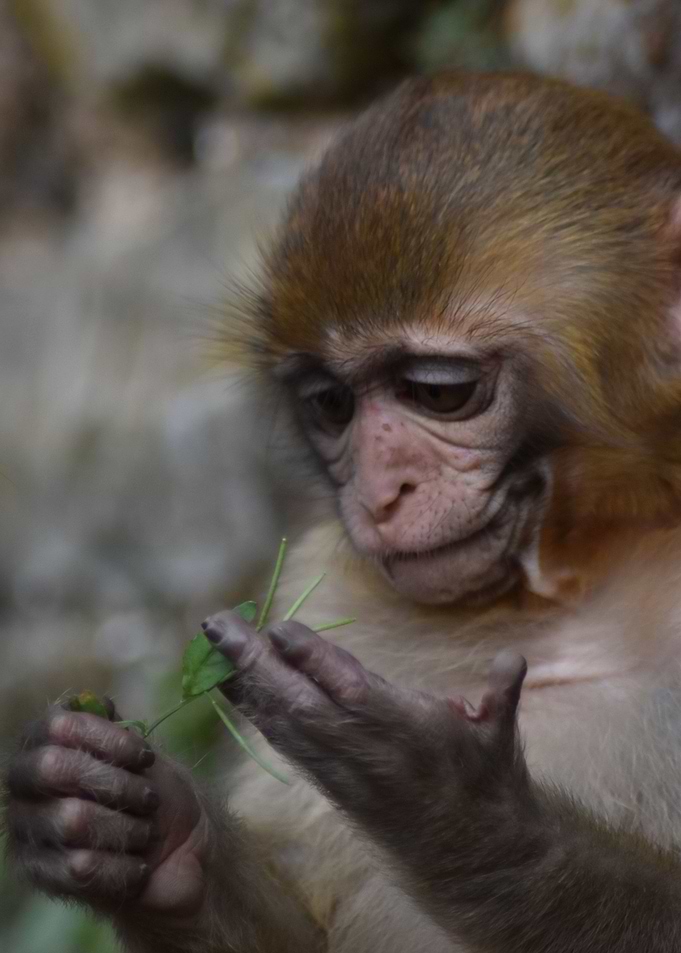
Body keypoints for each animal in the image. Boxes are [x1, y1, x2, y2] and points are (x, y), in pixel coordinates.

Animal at [8, 70, 681, 952]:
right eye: (331, 405)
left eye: (438, 391)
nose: (379, 493)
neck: (564, 579)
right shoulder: (324, 569)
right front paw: (140, 831)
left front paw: (449, 806)